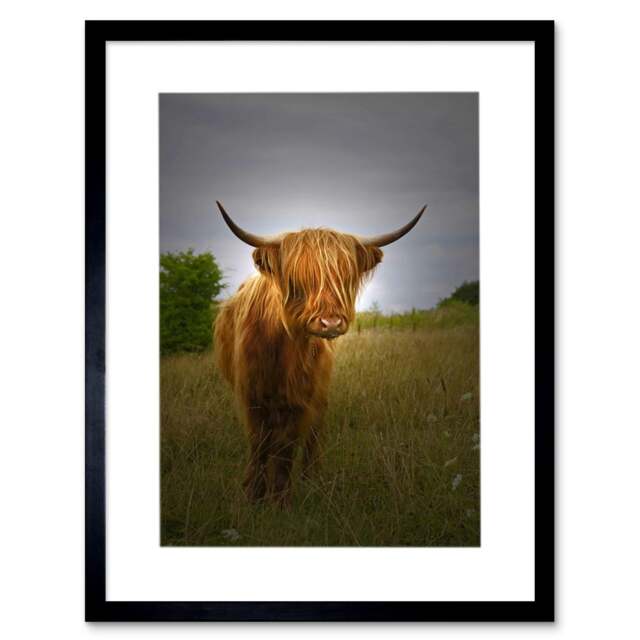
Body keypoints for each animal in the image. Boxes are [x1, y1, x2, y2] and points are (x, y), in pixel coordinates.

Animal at [213, 201, 425, 506]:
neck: (280, 350)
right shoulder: (251, 395)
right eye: (297, 279)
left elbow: (286, 448)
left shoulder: (300, 397)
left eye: (345, 278)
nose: (331, 323)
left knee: (313, 434)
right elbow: (260, 444)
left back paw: (311, 479)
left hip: (320, 394)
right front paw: (253, 495)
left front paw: (280, 501)